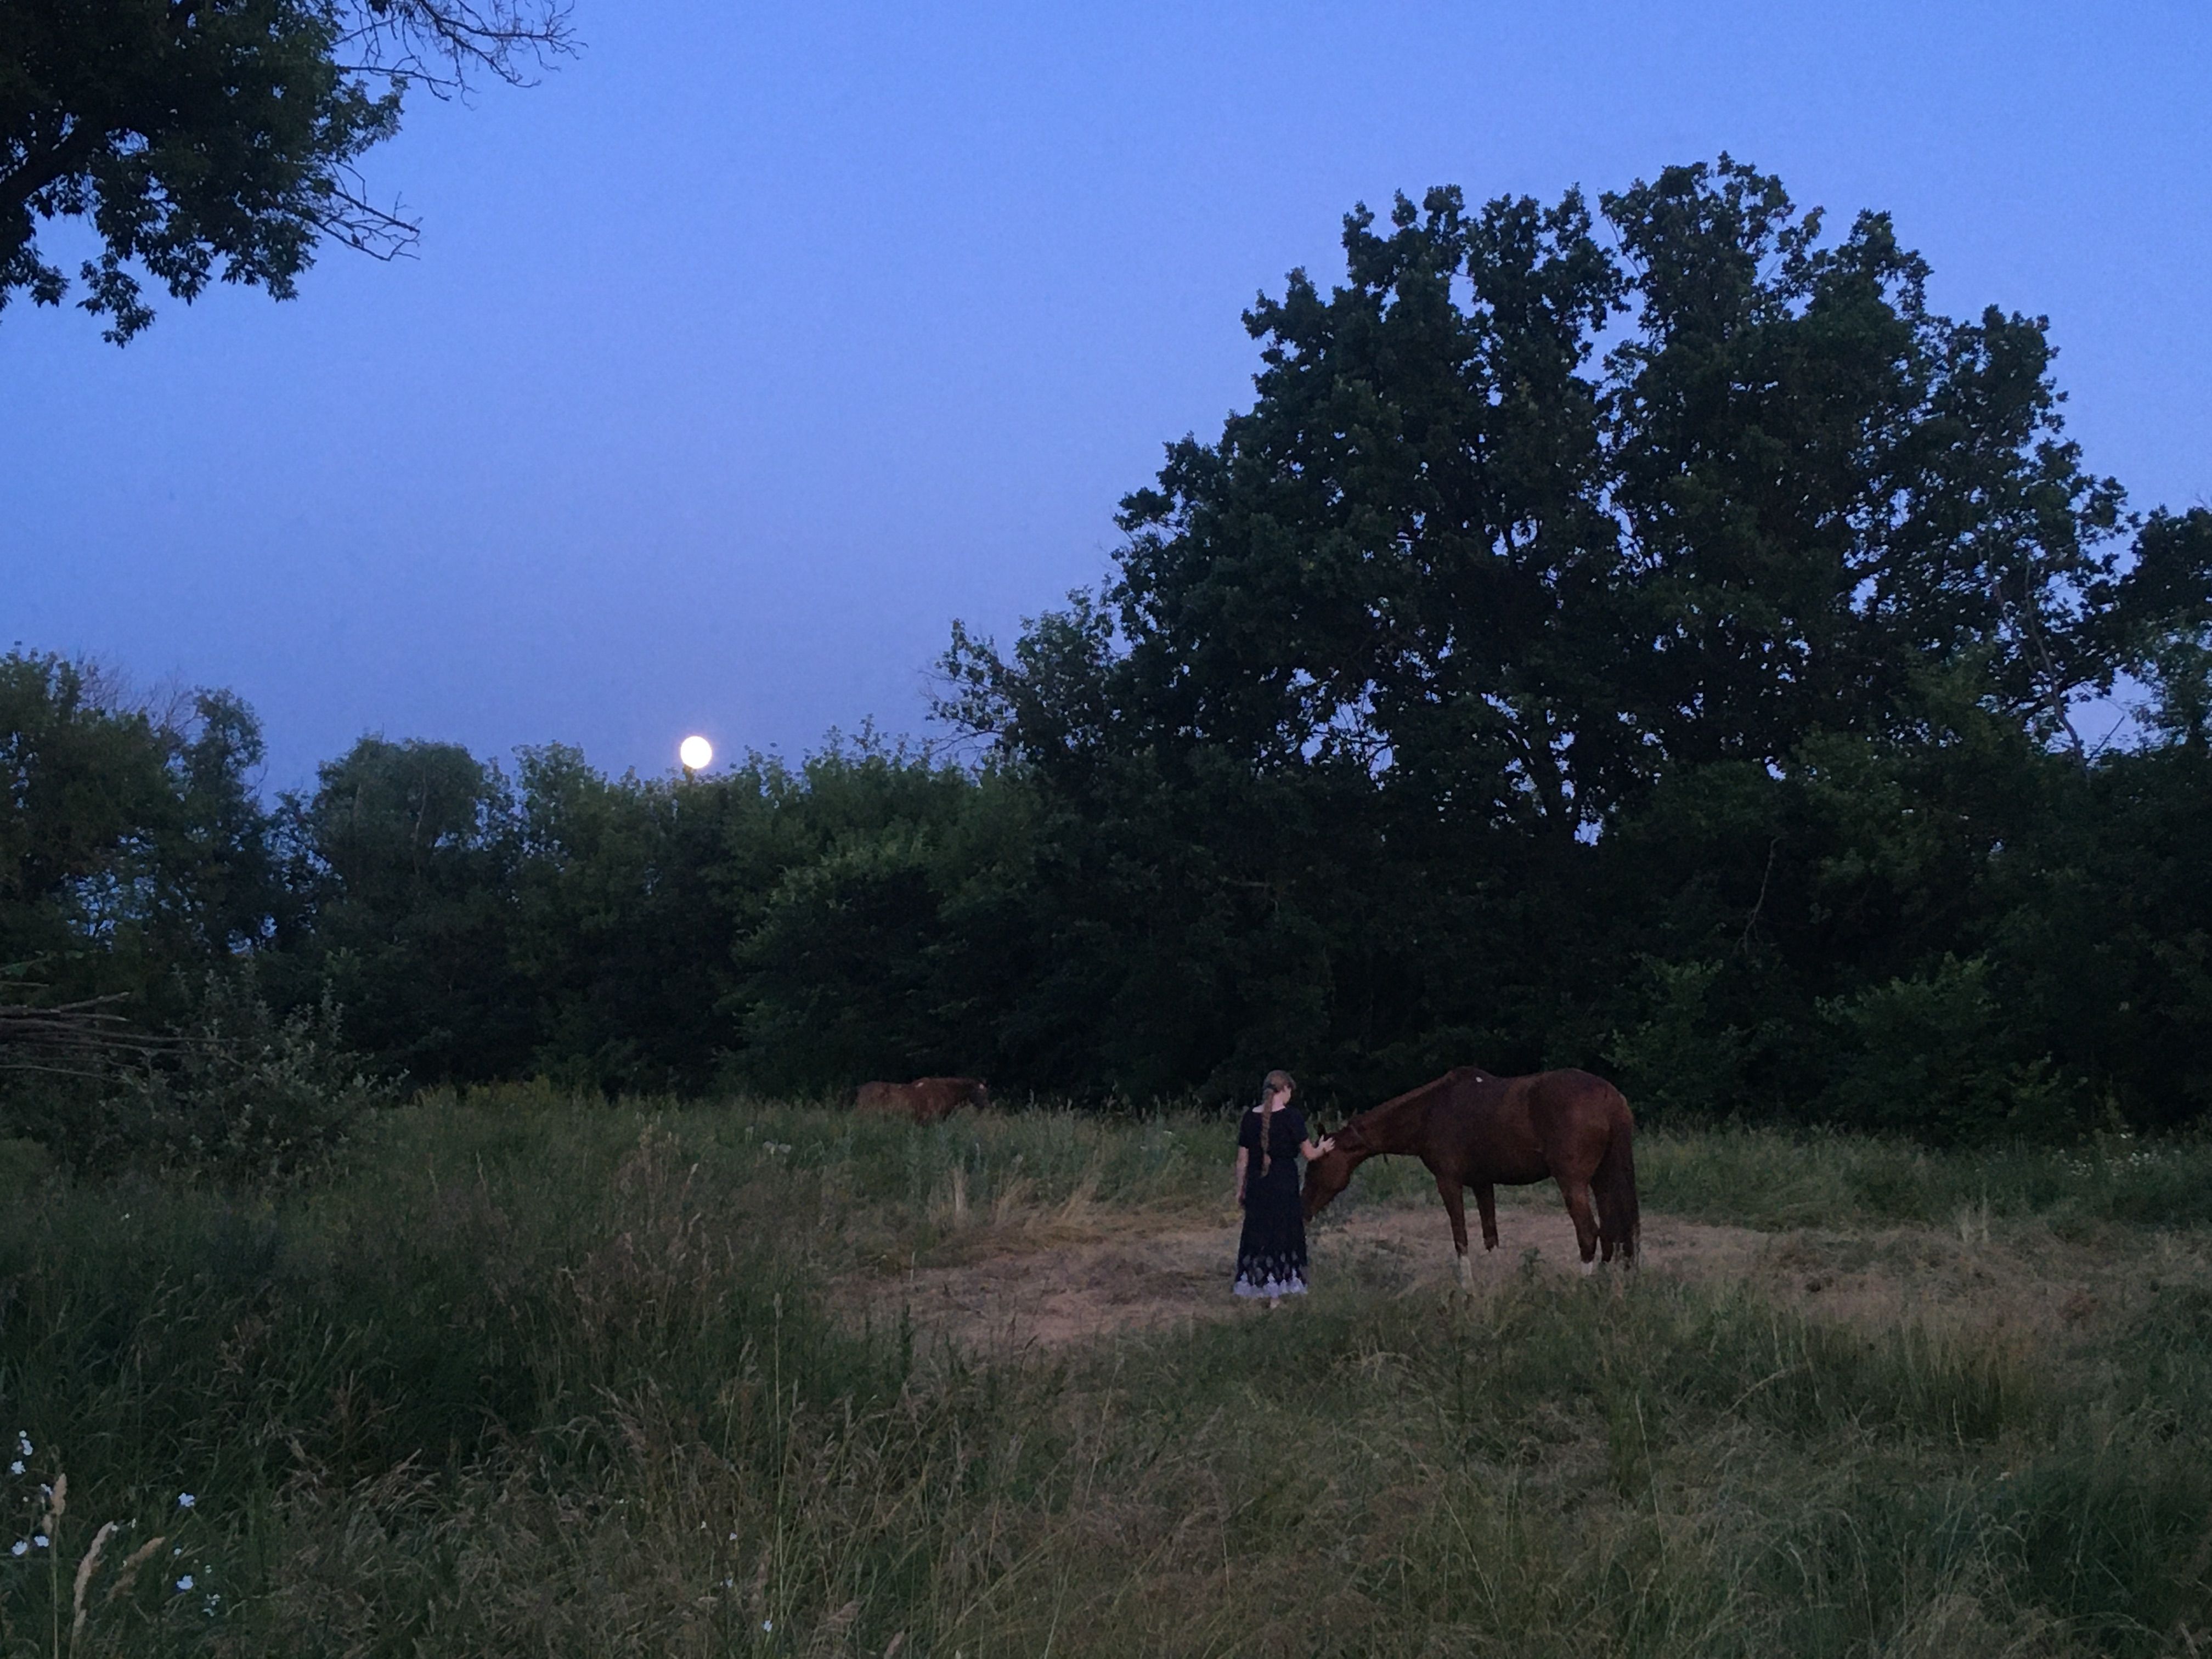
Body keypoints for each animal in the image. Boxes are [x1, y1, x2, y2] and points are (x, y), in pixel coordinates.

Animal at [1291, 1066, 1645, 1283]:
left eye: (1316, 1165)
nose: (1303, 1209)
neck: (1430, 1111)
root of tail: (1609, 1097)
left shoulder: (1449, 1182)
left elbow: (1461, 1238)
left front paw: (1468, 1290)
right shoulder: (1482, 1183)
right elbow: (1491, 1238)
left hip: (1573, 1183)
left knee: (1589, 1233)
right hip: (1603, 1179)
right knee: (1615, 1233)